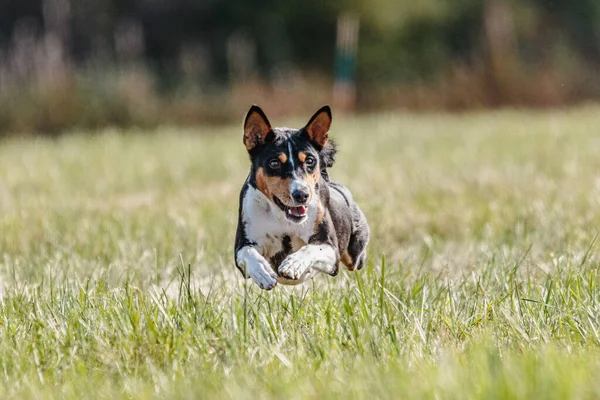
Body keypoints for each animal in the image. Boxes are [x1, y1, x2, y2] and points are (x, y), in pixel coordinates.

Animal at [233, 104, 366, 290]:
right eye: (274, 163)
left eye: (309, 160)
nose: (302, 194)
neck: (282, 216)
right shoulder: (243, 243)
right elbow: (248, 253)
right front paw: (263, 272)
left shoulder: (330, 249)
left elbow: (310, 249)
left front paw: (293, 264)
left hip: (354, 256)